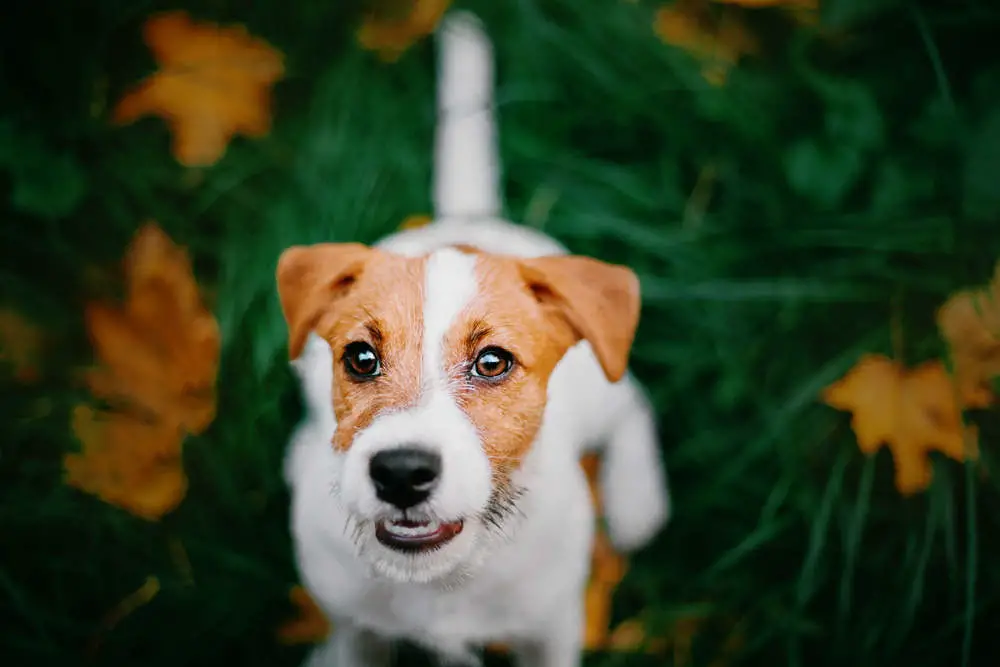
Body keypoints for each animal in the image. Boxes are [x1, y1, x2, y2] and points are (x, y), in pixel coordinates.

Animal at [274, 10, 672, 667]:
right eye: (360, 357)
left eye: (492, 362)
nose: (400, 473)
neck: (444, 579)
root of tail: (465, 221)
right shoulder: (356, 627)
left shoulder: (551, 627)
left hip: (600, 384)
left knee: (634, 398)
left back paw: (638, 499)